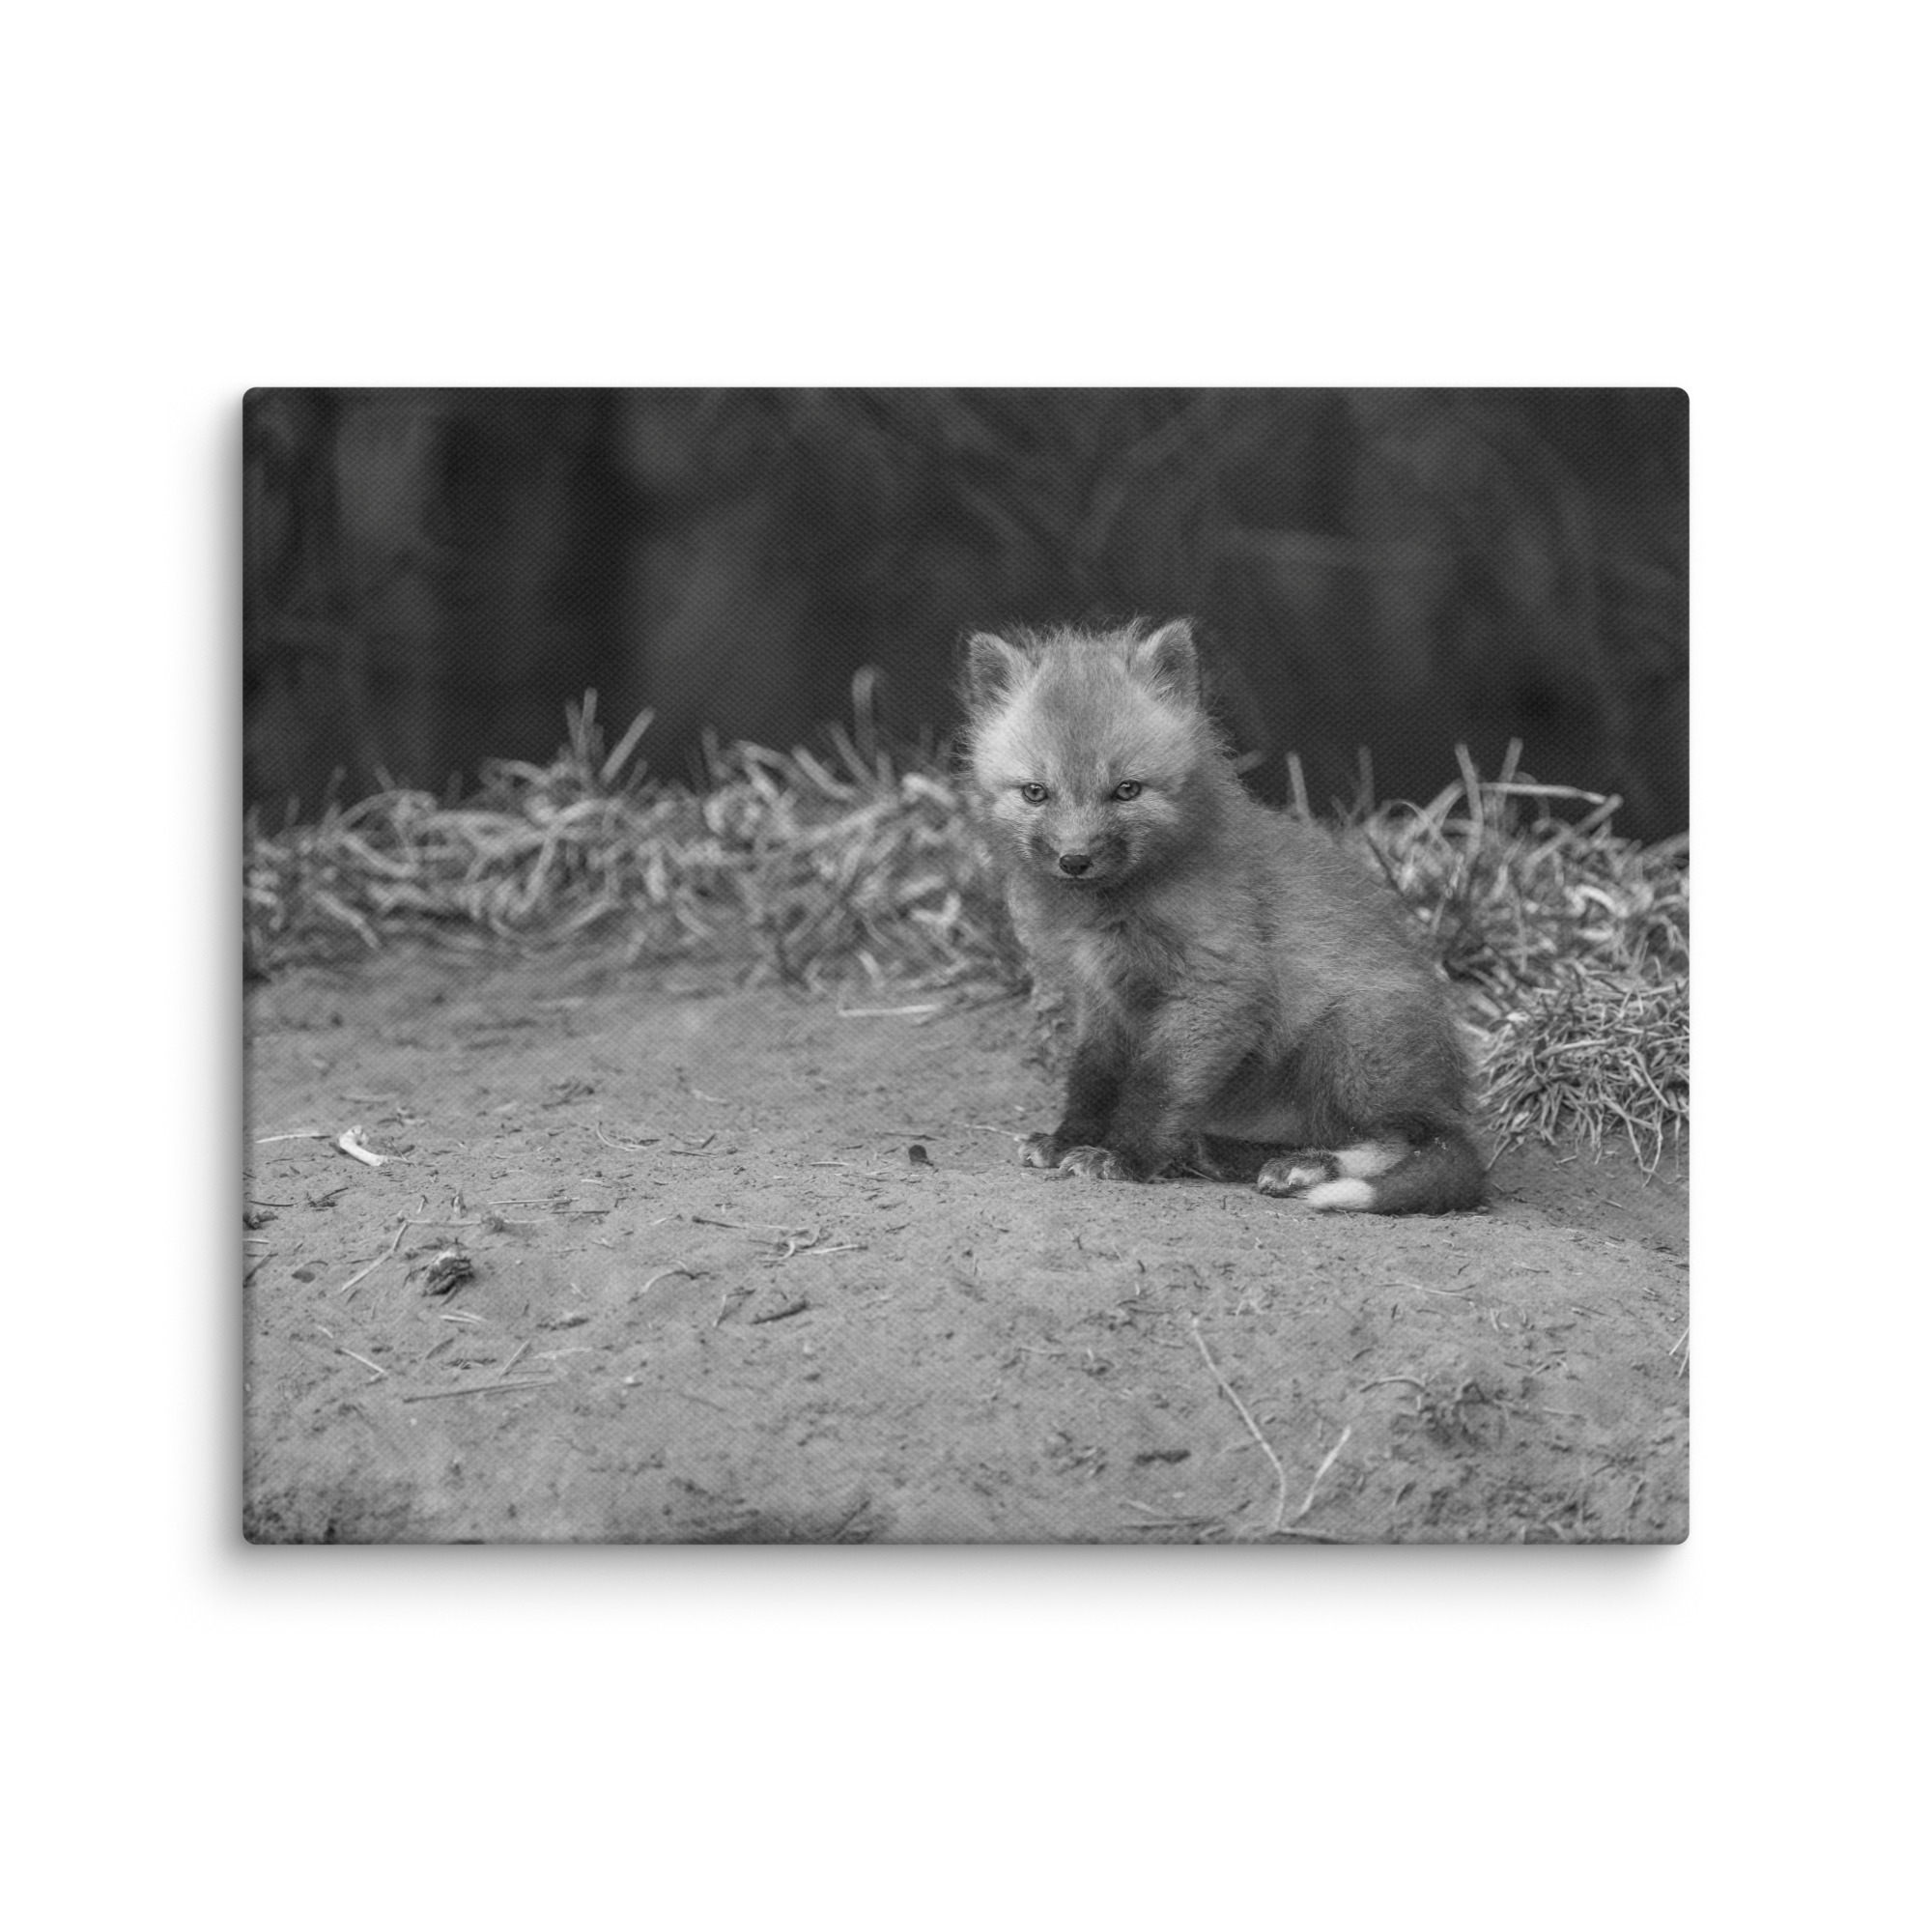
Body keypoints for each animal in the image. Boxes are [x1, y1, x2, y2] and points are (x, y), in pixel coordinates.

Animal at [963, 616, 1483, 1214]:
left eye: (1126, 790)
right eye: (1035, 793)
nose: (1075, 860)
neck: (1114, 912)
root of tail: (1449, 1094)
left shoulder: (1217, 987)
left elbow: (1157, 1085)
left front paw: (1125, 1156)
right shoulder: (1102, 998)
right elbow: (1093, 1077)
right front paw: (1070, 1138)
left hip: (1351, 1041)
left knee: (1413, 1140)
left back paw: (1306, 1168)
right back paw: (1223, 1152)